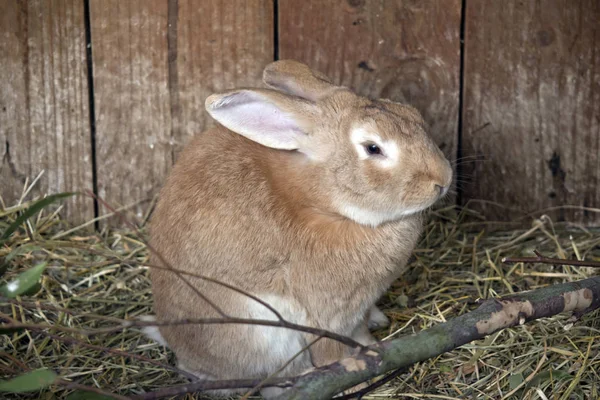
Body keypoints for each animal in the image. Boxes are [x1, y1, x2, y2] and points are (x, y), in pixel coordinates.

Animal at [148, 58, 452, 396]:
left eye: (412, 113)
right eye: (373, 148)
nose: (443, 179)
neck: (323, 203)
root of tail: (179, 348)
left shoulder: (355, 311)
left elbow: (359, 332)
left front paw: (371, 345)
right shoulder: (325, 315)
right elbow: (331, 350)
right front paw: (352, 378)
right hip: (263, 333)